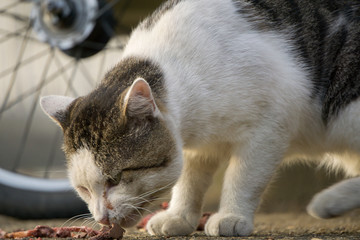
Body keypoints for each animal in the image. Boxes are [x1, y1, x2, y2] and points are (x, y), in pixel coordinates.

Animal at [40, 0, 360, 236]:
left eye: (116, 179)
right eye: (83, 188)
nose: (102, 218)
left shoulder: (269, 125)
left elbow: (243, 176)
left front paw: (231, 216)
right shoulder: (197, 144)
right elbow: (190, 180)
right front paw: (179, 216)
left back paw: (325, 202)